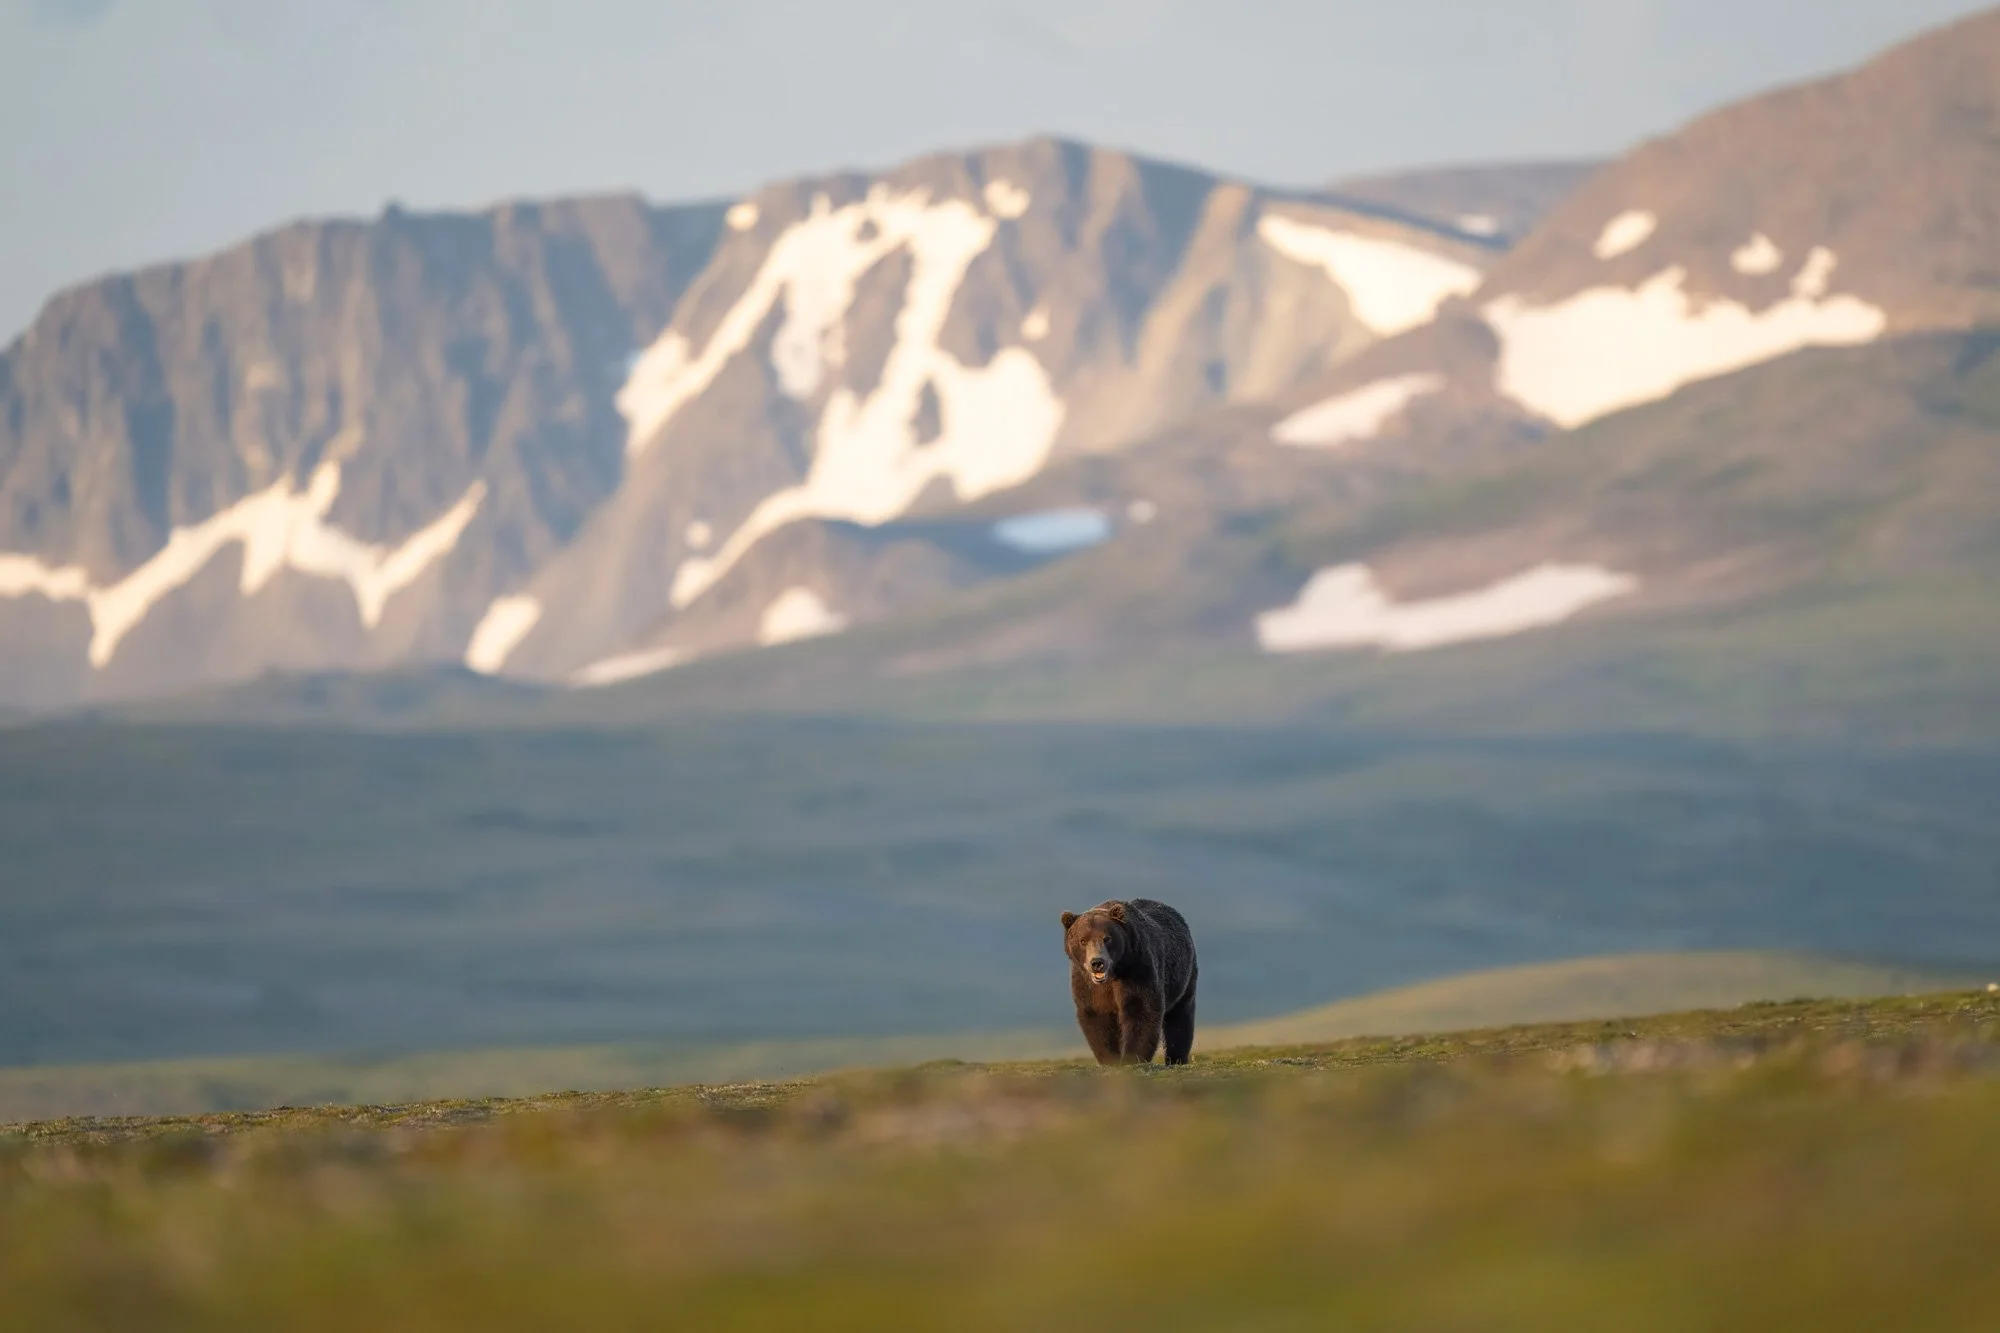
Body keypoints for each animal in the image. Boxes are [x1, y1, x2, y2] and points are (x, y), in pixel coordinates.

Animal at [1059, 898, 1198, 1066]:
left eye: (1107, 938)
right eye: (1083, 940)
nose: (1097, 962)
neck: (1113, 974)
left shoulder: (1137, 969)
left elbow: (1141, 1009)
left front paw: (1131, 1058)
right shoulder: (1086, 985)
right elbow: (1097, 1016)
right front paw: (1111, 1059)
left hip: (1184, 976)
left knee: (1180, 1016)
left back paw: (1176, 1059)